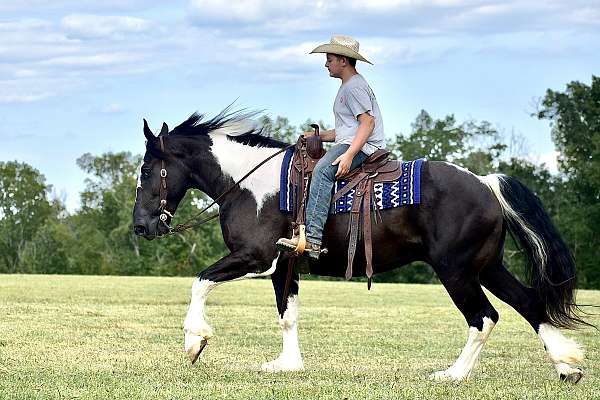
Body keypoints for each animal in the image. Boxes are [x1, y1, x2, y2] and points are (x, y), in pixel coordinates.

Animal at [131, 108, 584, 382]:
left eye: (148, 169)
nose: (139, 226)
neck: (249, 184)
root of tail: (486, 183)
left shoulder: (255, 258)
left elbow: (200, 281)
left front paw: (195, 341)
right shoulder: (284, 267)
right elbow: (287, 316)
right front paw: (288, 365)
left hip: (457, 271)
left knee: (484, 317)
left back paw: (453, 374)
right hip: (486, 267)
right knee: (528, 303)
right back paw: (567, 365)